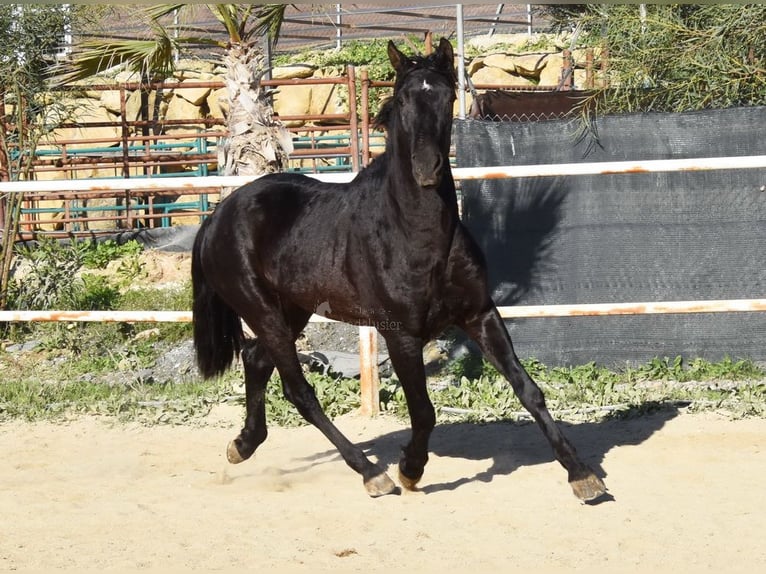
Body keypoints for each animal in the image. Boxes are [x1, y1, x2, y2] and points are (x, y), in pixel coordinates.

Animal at [190, 38, 608, 502]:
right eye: (404, 99)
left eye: (447, 97)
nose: (427, 169)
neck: (417, 237)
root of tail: (219, 215)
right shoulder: (401, 334)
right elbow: (423, 412)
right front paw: (410, 469)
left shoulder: (480, 315)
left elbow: (529, 390)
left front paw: (581, 474)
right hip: (262, 311)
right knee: (299, 390)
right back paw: (372, 473)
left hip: (293, 310)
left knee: (256, 359)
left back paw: (242, 445)